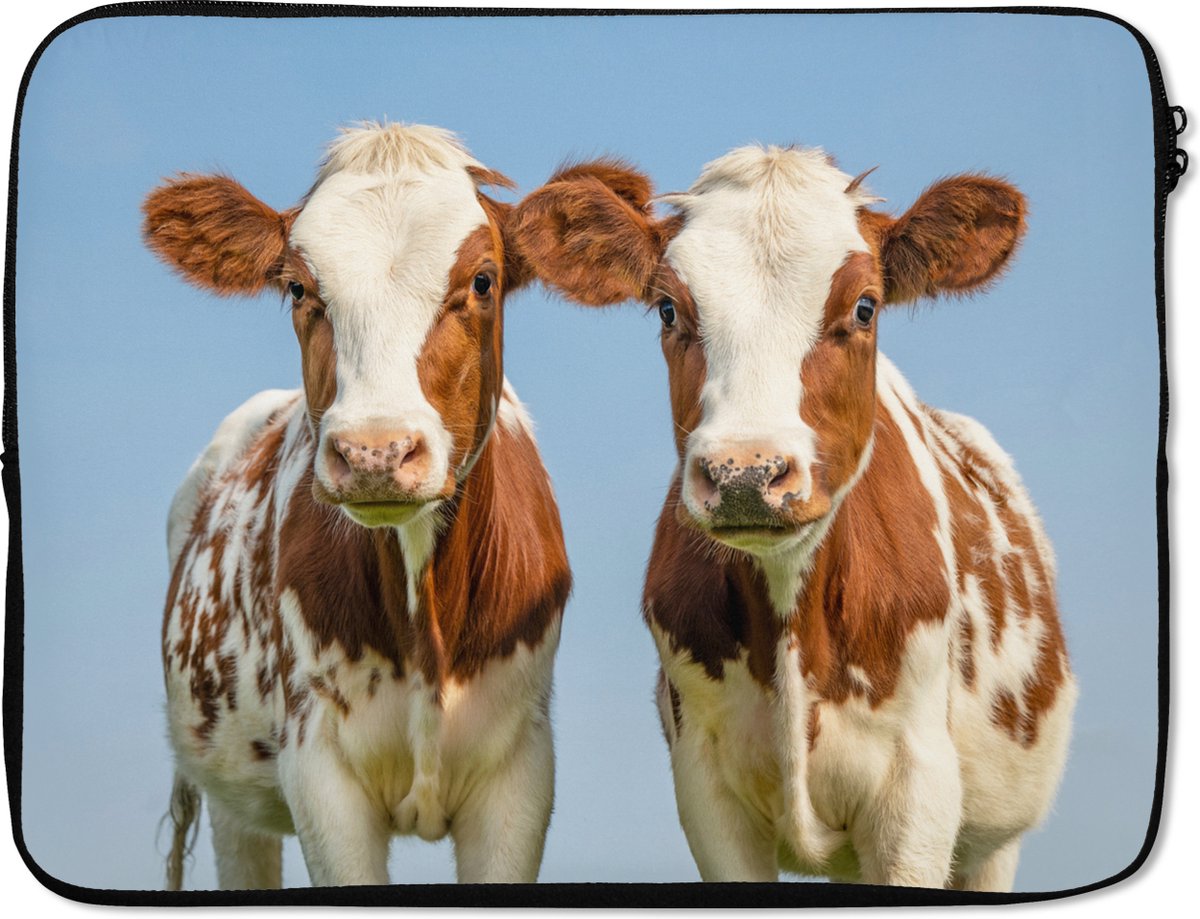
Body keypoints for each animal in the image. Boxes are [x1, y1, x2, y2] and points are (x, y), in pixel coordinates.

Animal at [143, 123, 571, 888]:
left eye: (482, 280)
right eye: (297, 286)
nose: (376, 451)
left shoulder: (521, 774)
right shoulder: (320, 773)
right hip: (232, 797)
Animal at [510, 148, 1077, 890]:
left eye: (864, 306)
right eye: (667, 308)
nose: (745, 473)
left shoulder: (917, 793)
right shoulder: (707, 789)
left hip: (994, 840)